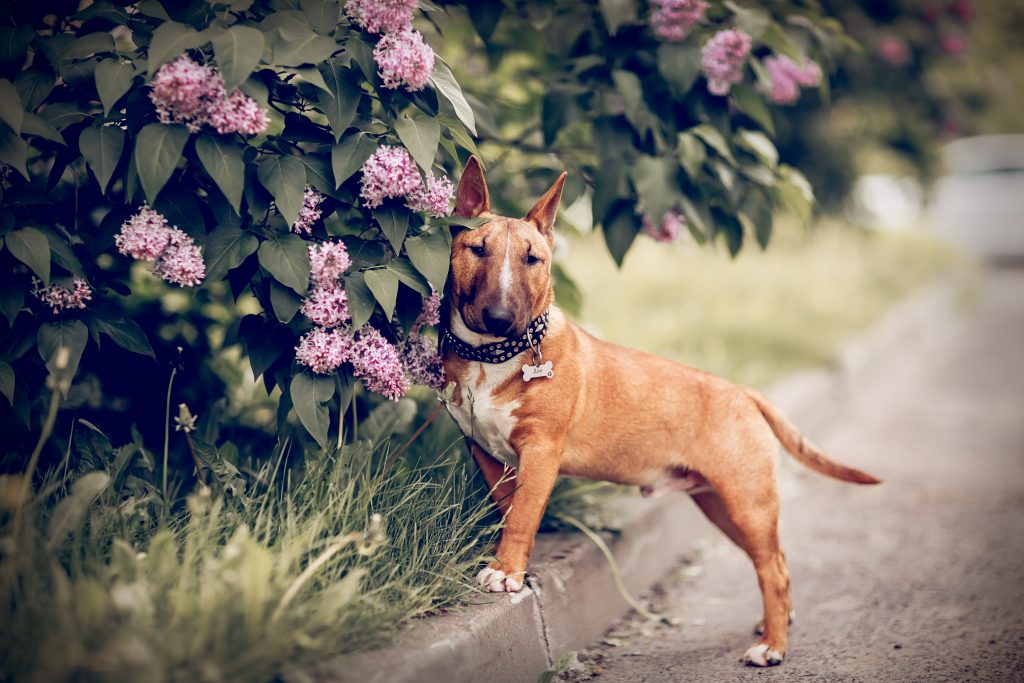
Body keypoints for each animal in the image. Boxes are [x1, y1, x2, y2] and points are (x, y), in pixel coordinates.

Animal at [440, 156, 880, 667]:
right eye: (477, 249)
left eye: (534, 259)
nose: (500, 319)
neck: (491, 359)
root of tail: (744, 392)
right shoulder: (487, 454)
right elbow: (509, 511)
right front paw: (506, 564)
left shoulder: (542, 451)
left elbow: (524, 516)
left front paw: (506, 571)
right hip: (721, 505)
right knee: (777, 560)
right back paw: (777, 624)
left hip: (747, 500)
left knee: (773, 570)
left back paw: (771, 646)